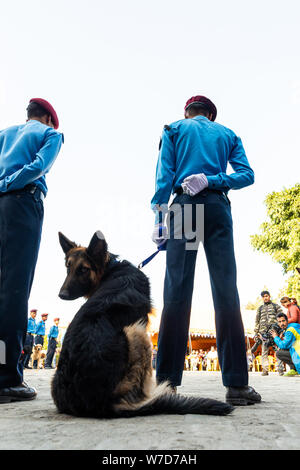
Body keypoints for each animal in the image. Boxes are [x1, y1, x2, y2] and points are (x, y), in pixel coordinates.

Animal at [51, 231, 233, 418]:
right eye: (68, 267)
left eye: (83, 269)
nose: (62, 294)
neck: (112, 269)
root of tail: (99, 405)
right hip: (136, 331)